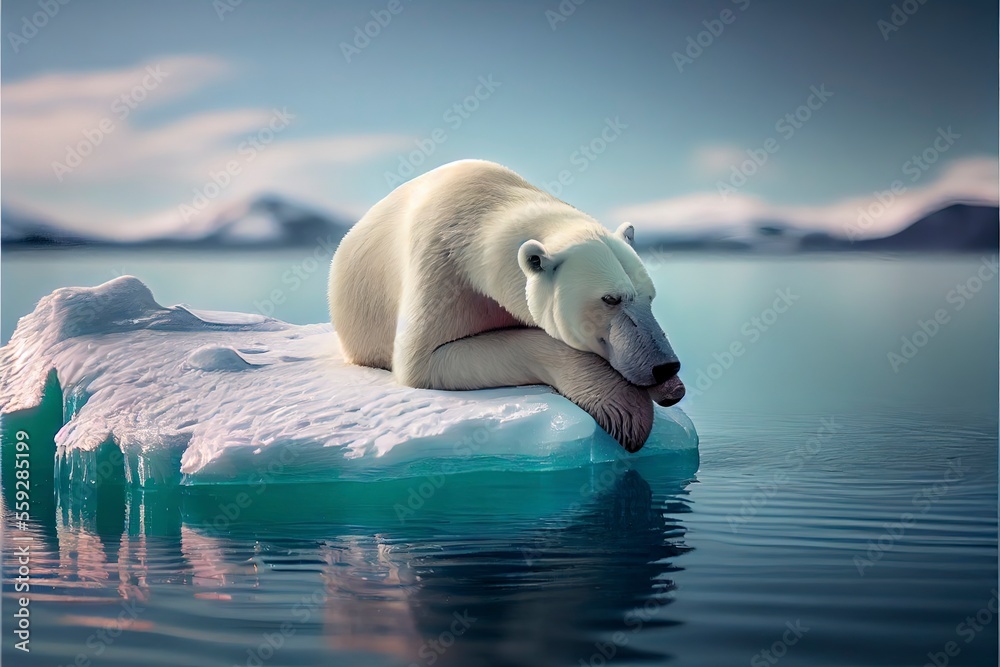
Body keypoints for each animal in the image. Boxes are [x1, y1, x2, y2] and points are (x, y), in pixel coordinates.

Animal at [328, 159, 684, 452]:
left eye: (649, 296)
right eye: (610, 299)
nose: (665, 366)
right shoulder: (440, 272)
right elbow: (425, 359)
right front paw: (625, 410)